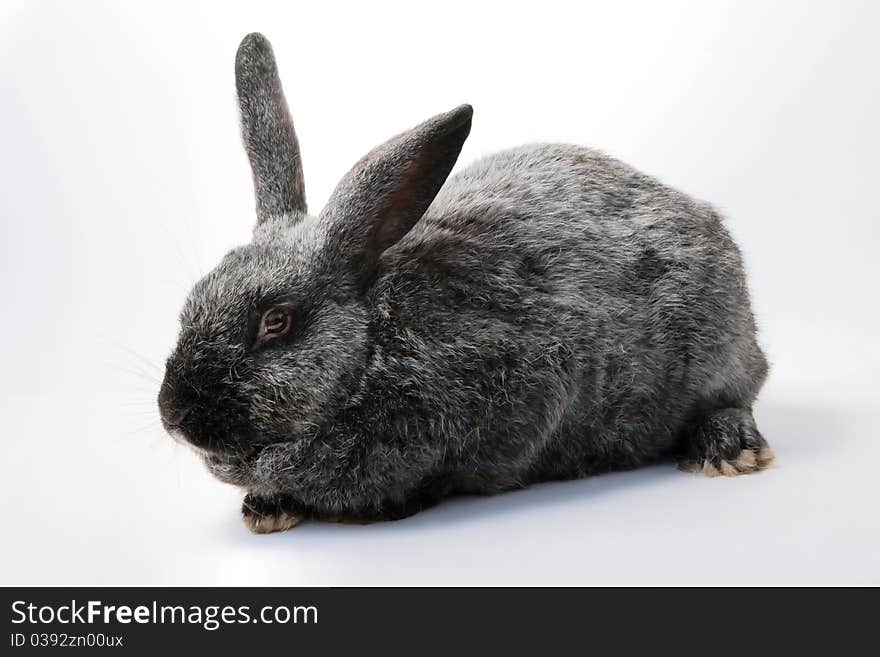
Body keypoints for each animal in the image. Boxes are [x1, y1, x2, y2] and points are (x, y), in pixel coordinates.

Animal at [156, 32, 768, 532]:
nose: (173, 415)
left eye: (276, 321)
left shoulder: (528, 387)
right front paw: (266, 507)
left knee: (738, 394)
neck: (373, 346)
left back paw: (728, 450)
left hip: (717, 347)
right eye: (191, 304)